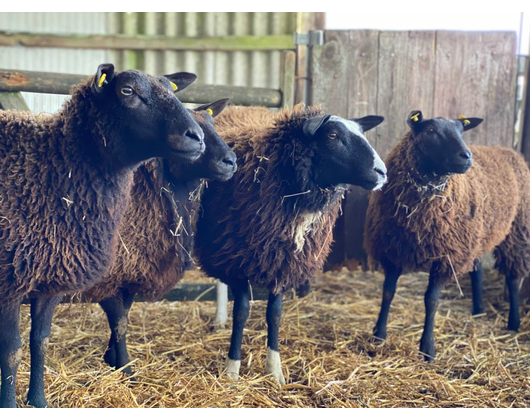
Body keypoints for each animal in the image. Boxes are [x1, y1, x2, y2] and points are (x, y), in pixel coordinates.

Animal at [0, 62, 204, 406]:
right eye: (127, 91)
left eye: (171, 89)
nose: (197, 137)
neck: (50, 169)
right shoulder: (10, 281)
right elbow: (12, 352)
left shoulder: (51, 278)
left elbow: (40, 341)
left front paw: (38, 400)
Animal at [83, 99, 236, 374]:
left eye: (214, 124)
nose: (230, 161)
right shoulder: (108, 274)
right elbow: (119, 318)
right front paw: (125, 368)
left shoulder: (130, 268)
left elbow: (125, 312)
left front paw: (112, 358)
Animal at [194, 104, 384, 384]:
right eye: (332, 135)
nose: (382, 172)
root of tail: (242, 107)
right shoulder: (238, 259)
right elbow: (242, 312)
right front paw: (232, 369)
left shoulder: (283, 262)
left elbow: (275, 315)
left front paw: (274, 371)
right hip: (220, 242)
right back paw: (220, 319)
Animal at [364, 110, 528, 360]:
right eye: (430, 130)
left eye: (462, 131)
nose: (467, 156)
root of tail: (510, 151)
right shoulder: (393, 249)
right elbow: (388, 293)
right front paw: (379, 335)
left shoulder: (445, 257)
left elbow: (431, 301)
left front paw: (428, 349)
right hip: (474, 235)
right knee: (477, 269)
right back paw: (478, 311)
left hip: (516, 230)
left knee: (513, 277)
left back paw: (514, 322)